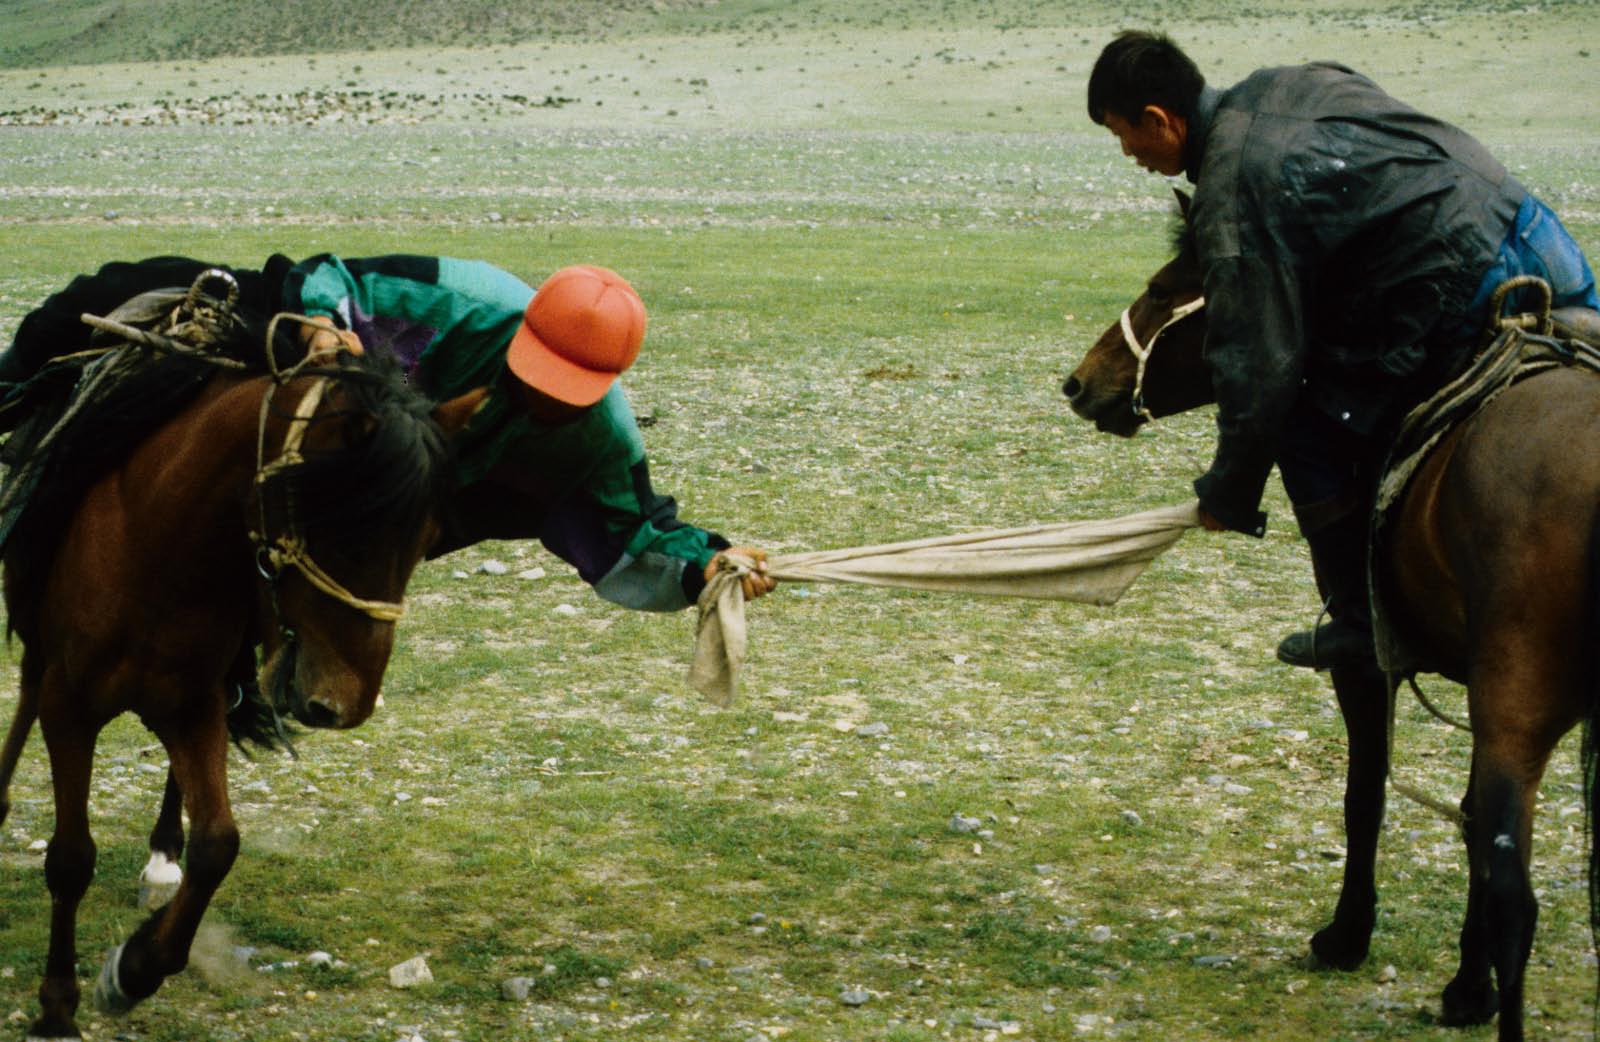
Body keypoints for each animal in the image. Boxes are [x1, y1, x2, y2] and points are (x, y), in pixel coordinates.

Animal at [0, 290, 485, 1040]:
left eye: (428, 536)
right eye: (343, 523)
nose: (346, 703)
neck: (153, 547)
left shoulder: (194, 703)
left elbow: (218, 844)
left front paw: (133, 968)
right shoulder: (69, 706)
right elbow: (71, 857)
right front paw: (57, 1007)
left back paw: (161, 860)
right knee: (23, 697)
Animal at [1061, 196, 1600, 1042]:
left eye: (1162, 288)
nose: (1080, 384)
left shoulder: (1370, 667)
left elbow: (1366, 798)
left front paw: (1347, 937)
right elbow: (1467, 819)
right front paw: (1466, 988)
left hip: (1517, 706)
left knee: (1519, 898)